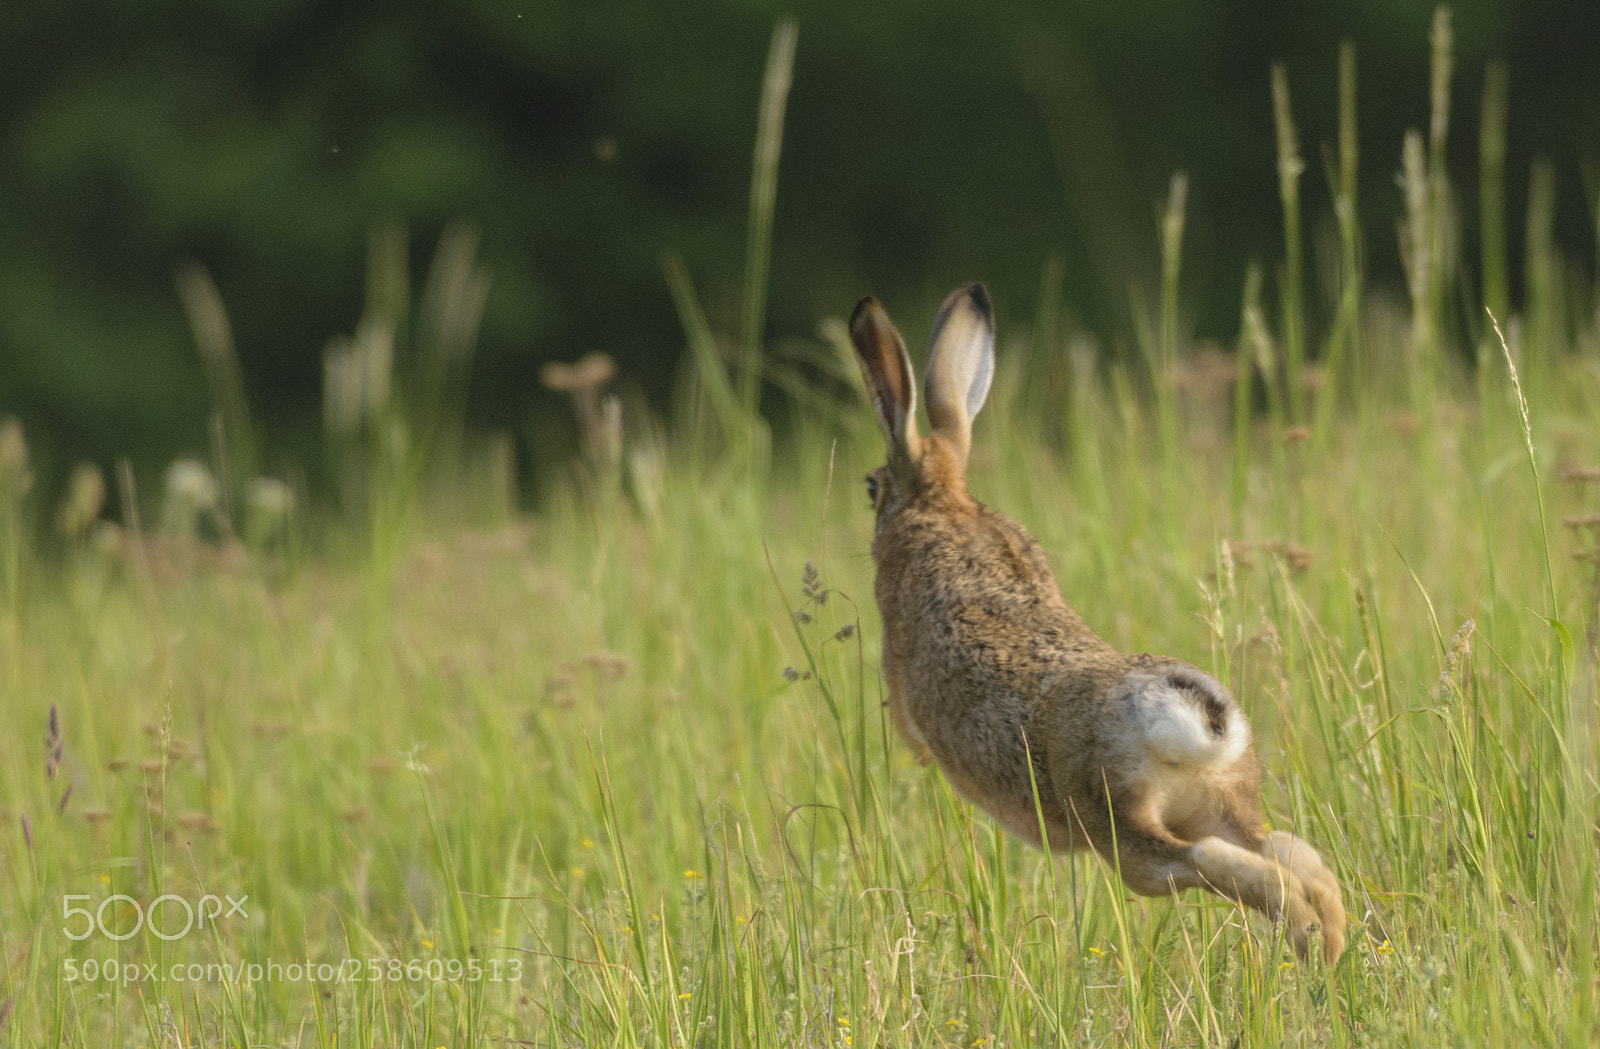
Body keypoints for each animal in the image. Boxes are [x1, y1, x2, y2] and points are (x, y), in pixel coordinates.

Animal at [848, 283, 1345, 965]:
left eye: (872, 486)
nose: (870, 491)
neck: (942, 502)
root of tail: (1189, 717)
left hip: (1114, 819)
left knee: (1211, 861)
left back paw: (1303, 936)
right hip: (1218, 796)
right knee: (1291, 851)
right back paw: (1333, 941)